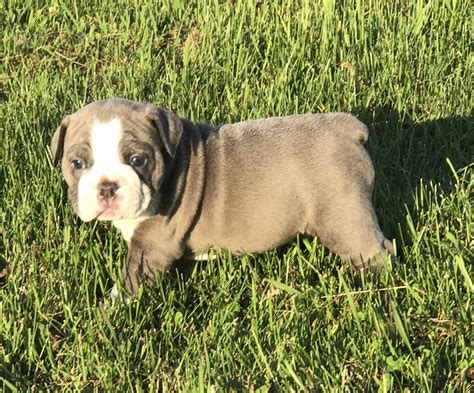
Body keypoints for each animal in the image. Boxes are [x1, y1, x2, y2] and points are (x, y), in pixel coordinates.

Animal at [51, 98, 392, 300]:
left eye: (137, 160)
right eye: (77, 163)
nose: (107, 186)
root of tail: (347, 128)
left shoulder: (151, 246)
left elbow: (130, 280)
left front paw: (109, 311)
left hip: (342, 215)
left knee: (374, 250)